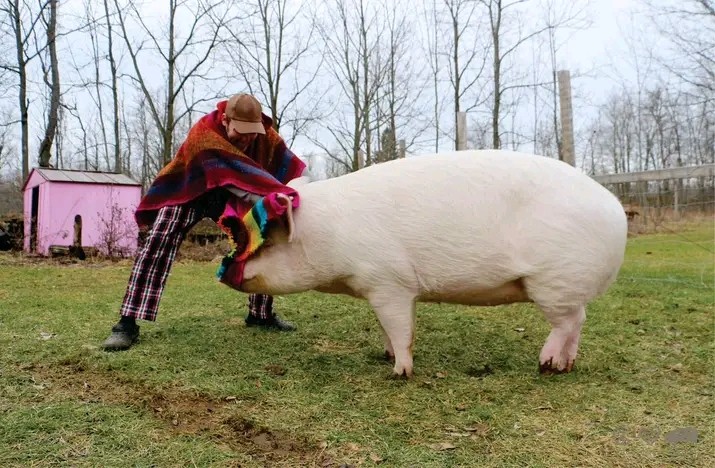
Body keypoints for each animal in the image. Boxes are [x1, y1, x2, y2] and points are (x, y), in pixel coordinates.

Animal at [236, 149, 628, 378]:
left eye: (269, 240)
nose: (227, 273)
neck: (332, 235)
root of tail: (617, 211)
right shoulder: (401, 287)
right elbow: (398, 328)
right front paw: (385, 356)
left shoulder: (387, 281)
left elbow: (397, 327)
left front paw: (398, 373)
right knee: (579, 320)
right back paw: (564, 366)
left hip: (553, 282)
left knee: (570, 321)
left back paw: (544, 364)